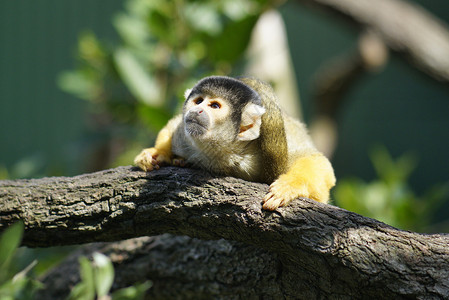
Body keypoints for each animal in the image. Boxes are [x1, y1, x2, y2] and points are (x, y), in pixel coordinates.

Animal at [135, 76, 334, 210]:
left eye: (214, 106)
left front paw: (291, 186)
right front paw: (157, 152)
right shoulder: (183, 136)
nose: (196, 110)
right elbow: (174, 125)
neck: (222, 151)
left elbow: (318, 165)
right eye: (198, 101)